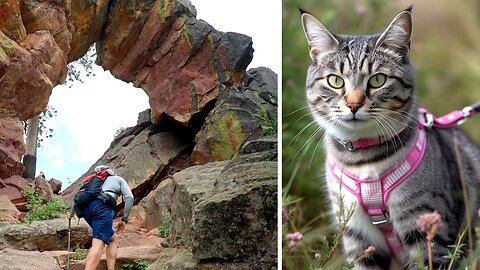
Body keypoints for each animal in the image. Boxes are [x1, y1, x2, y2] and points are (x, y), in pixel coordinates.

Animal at [302, 6, 480, 270]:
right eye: (335, 80)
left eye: (377, 80)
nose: (353, 104)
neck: (363, 162)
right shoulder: (358, 236)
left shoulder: (428, 233)